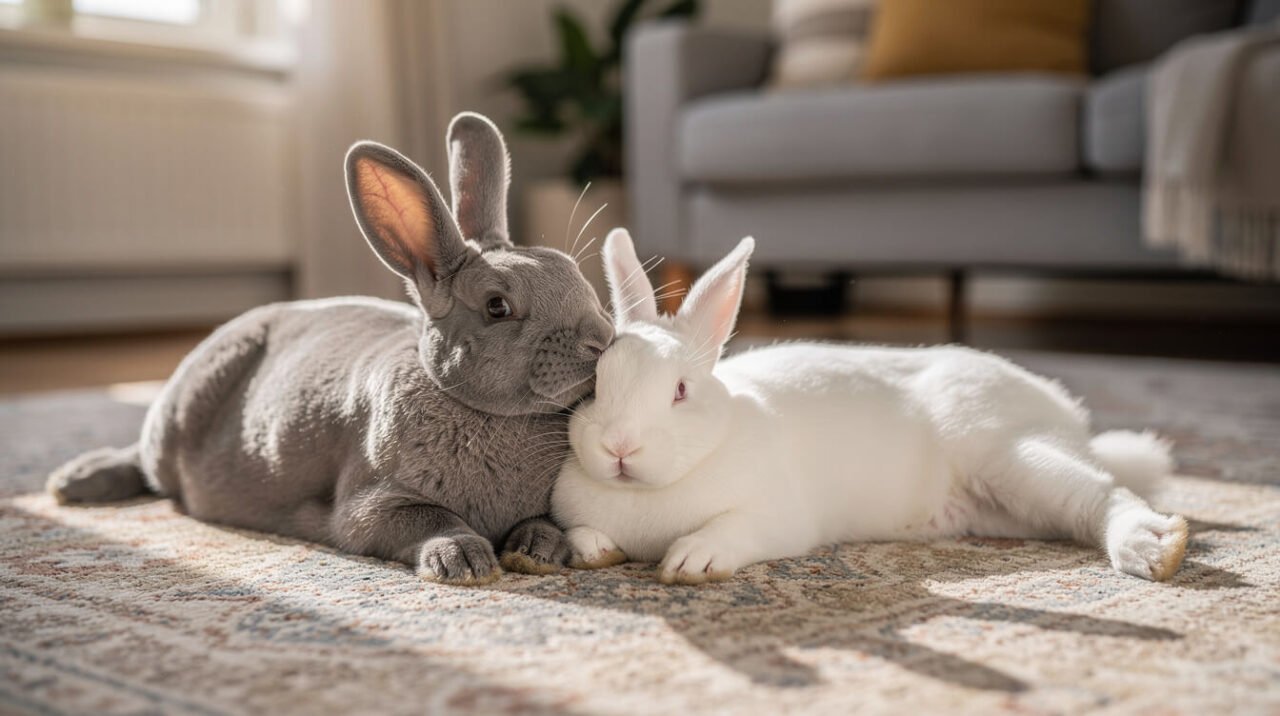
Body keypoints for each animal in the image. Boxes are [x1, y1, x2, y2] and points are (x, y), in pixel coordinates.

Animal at [47, 112, 615, 585]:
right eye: (498, 306)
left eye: (573, 272)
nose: (602, 340)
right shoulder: (373, 504)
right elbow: (427, 519)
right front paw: (464, 561)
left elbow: (541, 523)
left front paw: (538, 551)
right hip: (175, 423)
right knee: (144, 461)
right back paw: (73, 482)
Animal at [551, 229, 1189, 585]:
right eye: (594, 383)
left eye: (680, 391)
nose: (619, 446)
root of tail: (1068, 419)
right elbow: (579, 531)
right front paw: (594, 550)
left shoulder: (777, 517)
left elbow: (731, 530)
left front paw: (691, 562)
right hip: (1004, 507)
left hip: (1009, 452)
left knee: (1105, 495)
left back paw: (1152, 549)